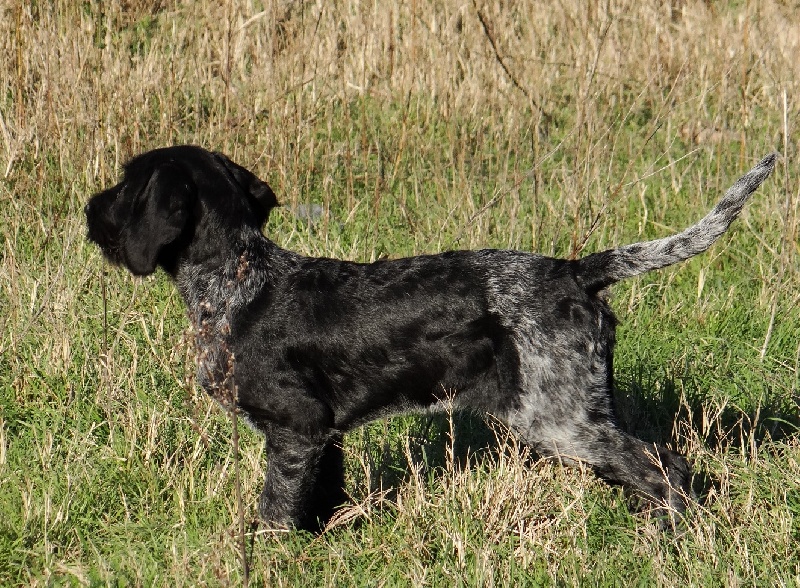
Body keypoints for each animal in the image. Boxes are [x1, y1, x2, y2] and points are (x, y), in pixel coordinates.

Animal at [86, 145, 776, 532]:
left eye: (125, 187)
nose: (89, 208)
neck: (237, 279)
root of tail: (574, 270)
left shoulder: (295, 429)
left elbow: (276, 513)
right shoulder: (323, 437)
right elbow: (319, 502)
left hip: (555, 418)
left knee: (664, 472)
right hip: (581, 409)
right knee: (664, 465)